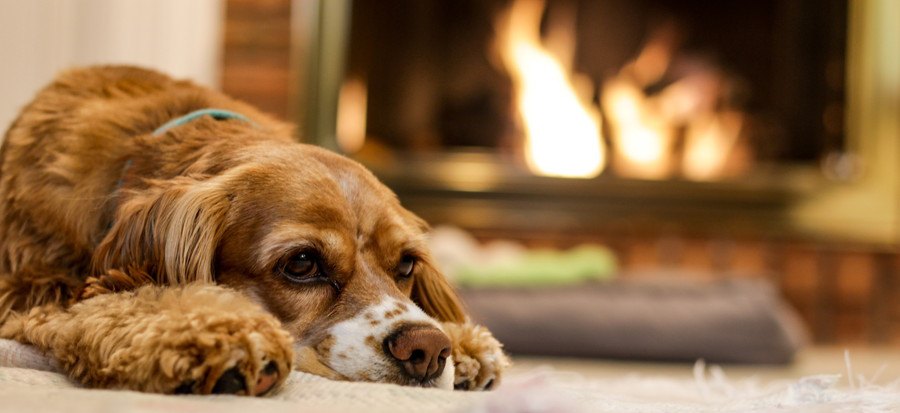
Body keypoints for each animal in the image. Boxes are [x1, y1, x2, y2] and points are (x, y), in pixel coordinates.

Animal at [0, 66, 506, 394]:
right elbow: (127, 301)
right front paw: (222, 335)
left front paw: (465, 341)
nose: (428, 349)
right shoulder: (33, 284)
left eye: (405, 265)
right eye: (302, 263)